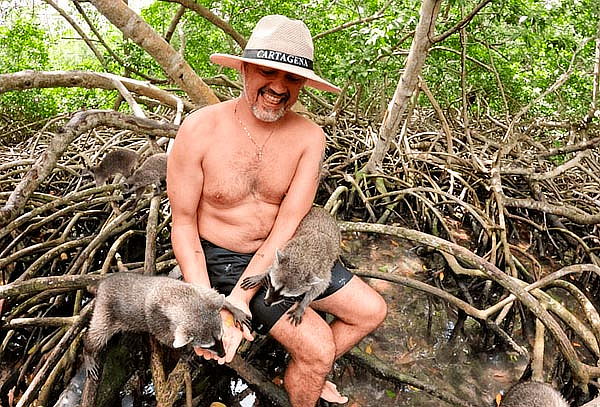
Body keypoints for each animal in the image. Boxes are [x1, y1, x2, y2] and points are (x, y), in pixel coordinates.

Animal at [81, 272, 250, 380]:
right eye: (208, 346)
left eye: (221, 336)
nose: (222, 354)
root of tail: (103, 282)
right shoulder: (156, 319)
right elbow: (167, 339)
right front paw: (184, 352)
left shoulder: (191, 289)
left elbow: (211, 294)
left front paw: (231, 306)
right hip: (105, 308)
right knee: (98, 333)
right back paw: (88, 351)